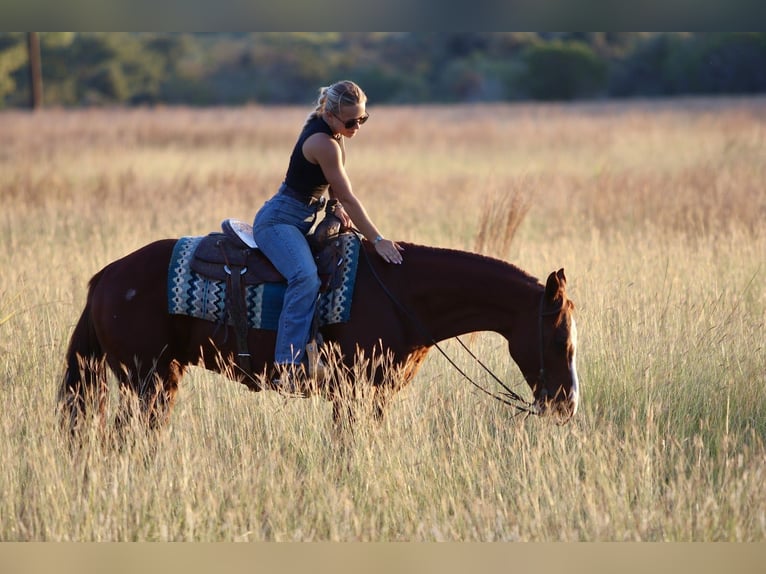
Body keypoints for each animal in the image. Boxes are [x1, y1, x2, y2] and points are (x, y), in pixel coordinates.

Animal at [58, 231, 579, 436]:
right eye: (561, 341)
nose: (567, 405)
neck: (403, 294)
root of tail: (107, 276)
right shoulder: (355, 392)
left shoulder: (373, 395)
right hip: (145, 379)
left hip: (161, 377)